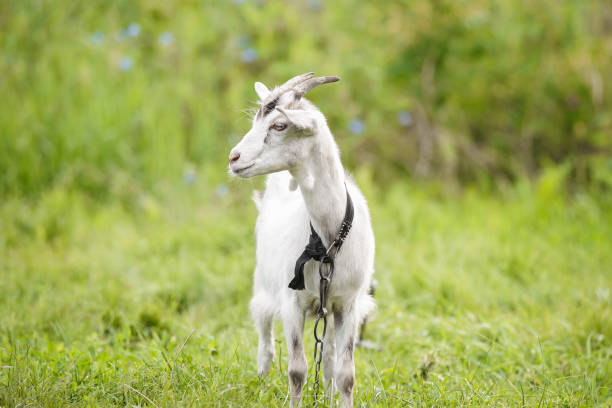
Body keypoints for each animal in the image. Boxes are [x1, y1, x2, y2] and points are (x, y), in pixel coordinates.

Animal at [228, 73, 376, 408]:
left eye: (279, 125)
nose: (233, 158)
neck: (328, 238)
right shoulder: (291, 302)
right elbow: (297, 370)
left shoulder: (348, 304)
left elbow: (346, 374)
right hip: (263, 287)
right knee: (265, 342)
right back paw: (261, 383)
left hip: (329, 309)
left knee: (330, 356)